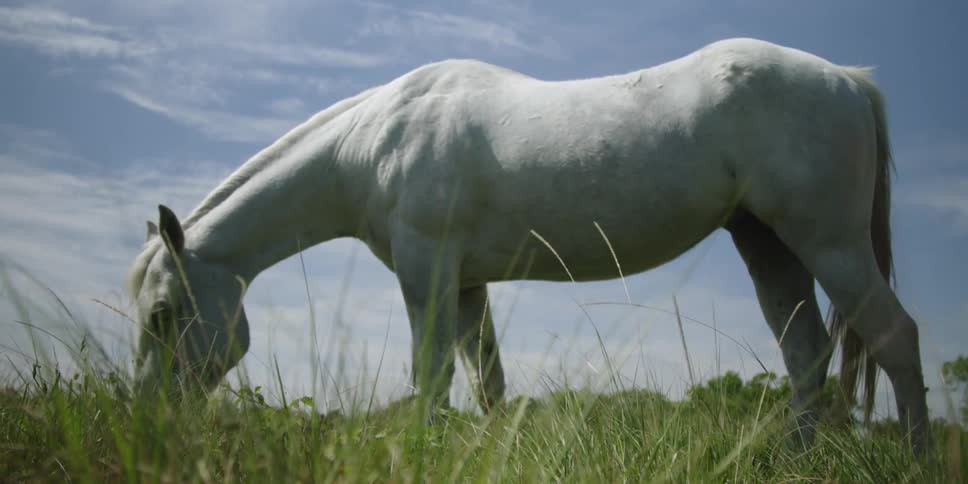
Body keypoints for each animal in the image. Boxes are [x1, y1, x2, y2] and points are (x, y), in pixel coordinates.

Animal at [126, 37, 929, 451]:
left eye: (163, 314)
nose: (150, 416)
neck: (375, 141)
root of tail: (849, 81)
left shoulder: (426, 273)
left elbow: (430, 378)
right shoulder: (466, 285)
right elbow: (487, 384)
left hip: (829, 244)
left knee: (894, 338)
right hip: (769, 247)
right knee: (807, 357)